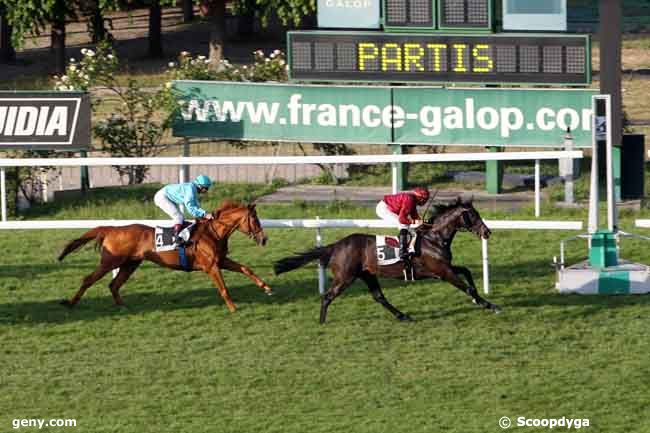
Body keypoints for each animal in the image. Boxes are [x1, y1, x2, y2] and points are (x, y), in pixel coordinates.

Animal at [57, 199, 272, 310]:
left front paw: (267, 288)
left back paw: (123, 306)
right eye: (255, 219)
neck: (213, 232)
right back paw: (70, 302)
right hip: (110, 262)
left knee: (114, 284)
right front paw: (233, 308)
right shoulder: (211, 266)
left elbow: (246, 269)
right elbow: (224, 288)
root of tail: (112, 229)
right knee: (89, 279)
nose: (264, 239)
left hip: (130, 264)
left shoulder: (221, 260)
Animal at [270, 197, 498, 322]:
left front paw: (479, 298)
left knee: (379, 297)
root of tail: (336, 245)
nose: (487, 232)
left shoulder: (445, 267)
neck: (434, 237)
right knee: (327, 296)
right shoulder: (442, 271)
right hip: (345, 277)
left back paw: (403, 316)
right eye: (474, 216)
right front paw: (488, 304)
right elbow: (465, 286)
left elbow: (467, 271)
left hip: (367, 274)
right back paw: (322, 322)